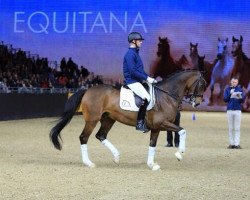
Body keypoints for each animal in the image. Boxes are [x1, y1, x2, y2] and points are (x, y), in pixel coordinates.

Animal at [49, 70, 206, 170]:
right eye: (201, 85)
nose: (197, 103)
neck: (166, 96)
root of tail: (87, 90)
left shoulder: (156, 127)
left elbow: (152, 144)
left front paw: (152, 165)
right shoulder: (162, 123)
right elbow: (182, 131)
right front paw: (179, 154)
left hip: (108, 119)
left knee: (101, 135)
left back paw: (116, 156)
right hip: (92, 120)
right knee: (83, 137)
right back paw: (89, 163)